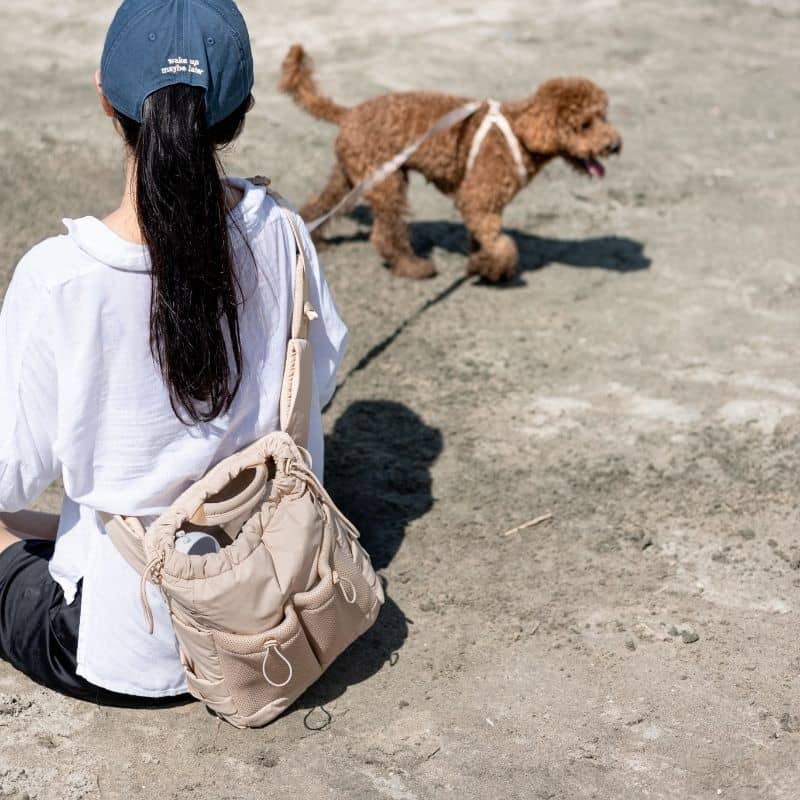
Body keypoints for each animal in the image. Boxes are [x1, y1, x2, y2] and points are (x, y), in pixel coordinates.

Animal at [282, 44, 624, 282]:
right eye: (585, 125)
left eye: (604, 117)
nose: (615, 145)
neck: (520, 131)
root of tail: (349, 112)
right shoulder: (478, 198)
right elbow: (502, 243)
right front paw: (489, 268)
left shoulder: (484, 204)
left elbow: (483, 236)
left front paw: (481, 260)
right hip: (386, 180)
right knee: (385, 233)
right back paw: (413, 267)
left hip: (354, 174)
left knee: (319, 204)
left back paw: (313, 241)